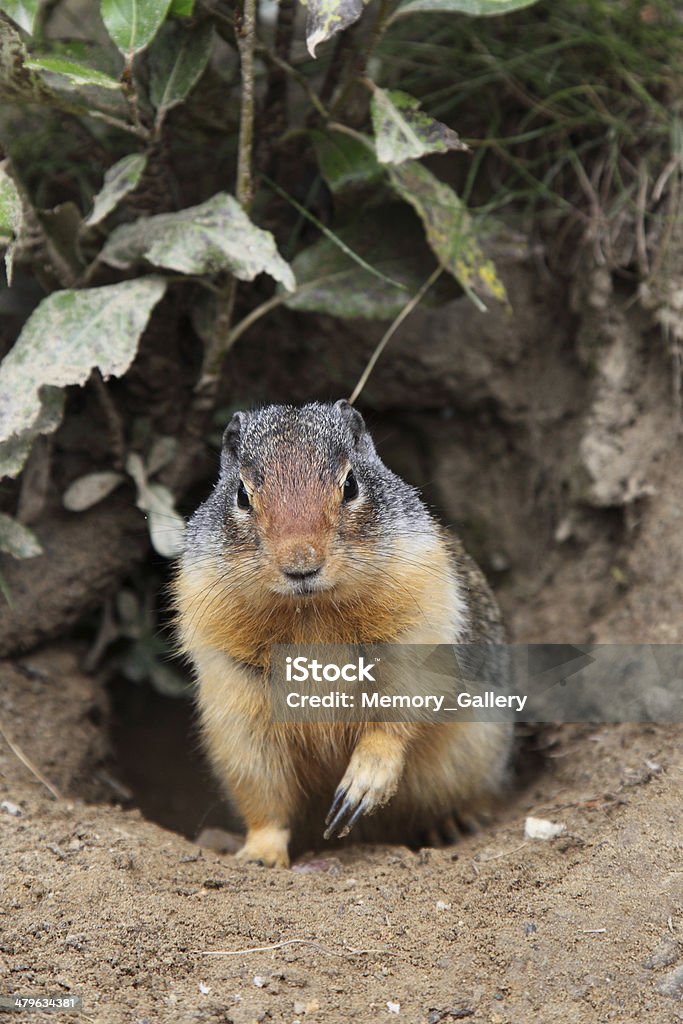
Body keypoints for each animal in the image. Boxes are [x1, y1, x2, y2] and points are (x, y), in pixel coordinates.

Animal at [176, 399, 511, 864]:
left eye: (351, 484)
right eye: (242, 494)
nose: (301, 564)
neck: (310, 612)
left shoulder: (418, 634)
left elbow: (394, 720)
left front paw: (358, 790)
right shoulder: (239, 705)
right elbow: (264, 794)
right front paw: (259, 855)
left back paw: (456, 823)